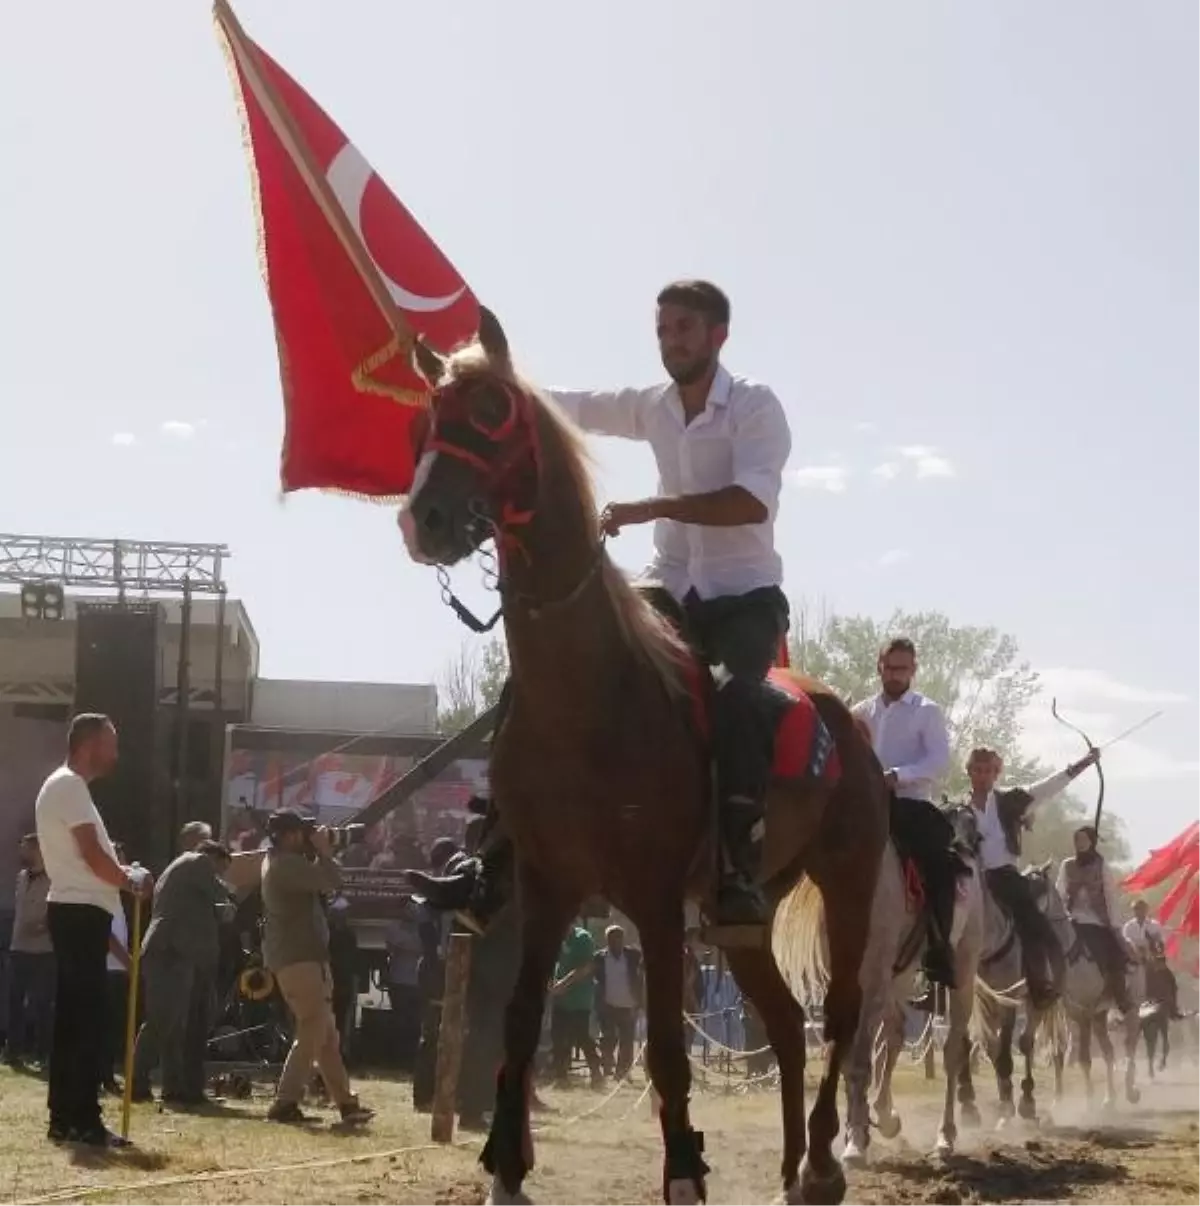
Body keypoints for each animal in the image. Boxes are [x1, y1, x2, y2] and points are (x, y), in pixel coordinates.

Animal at [397, 318, 887, 1206]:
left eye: (491, 410)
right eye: (426, 416)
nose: (426, 520)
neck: (591, 697)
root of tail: (848, 727)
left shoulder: (655, 902)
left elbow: (664, 1048)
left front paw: (685, 1171)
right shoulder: (547, 886)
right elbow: (519, 1023)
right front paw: (505, 1169)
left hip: (847, 881)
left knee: (838, 1014)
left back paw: (821, 1165)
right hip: (739, 922)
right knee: (785, 1027)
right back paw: (789, 1167)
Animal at [776, 824, 984, 1162]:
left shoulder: (871, 979)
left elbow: (860, 1060)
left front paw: (856, 1143)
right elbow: (849, 1059)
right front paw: (856, 1131)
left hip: (962, 972)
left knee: (952, 1050)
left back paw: (945, 1136)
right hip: (896, 979)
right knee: (895, 1034)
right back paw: (886, 1117)